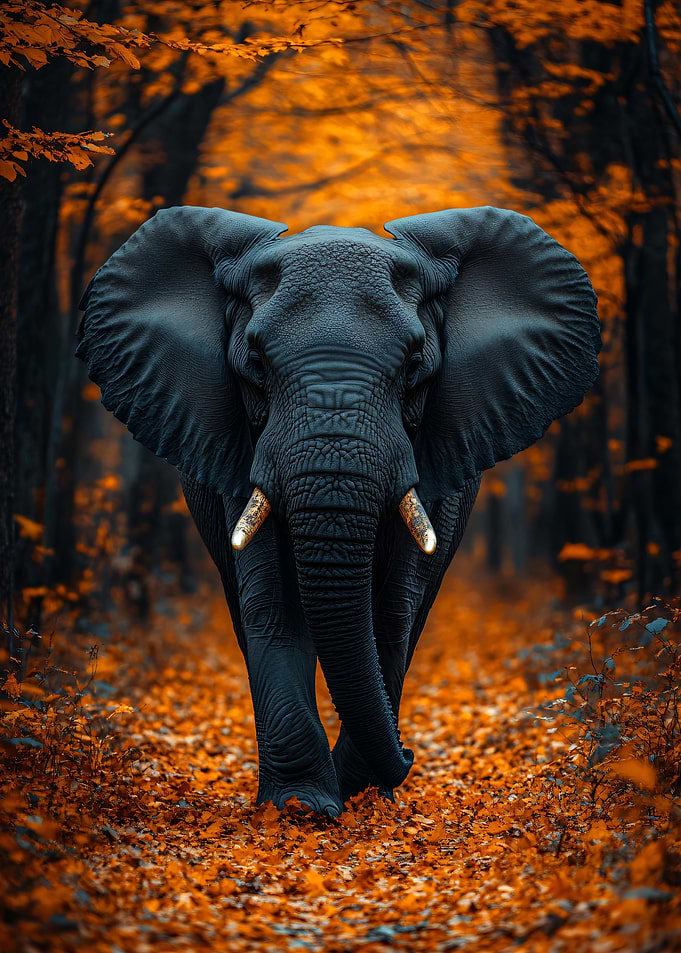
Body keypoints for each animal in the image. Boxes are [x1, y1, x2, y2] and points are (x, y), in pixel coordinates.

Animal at [76, 204, 600, 817]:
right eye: (255, 362)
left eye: (415, 362)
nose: (409, 755)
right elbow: (273, 602)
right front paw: (302, 808)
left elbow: (394, 608)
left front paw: (363, 791)